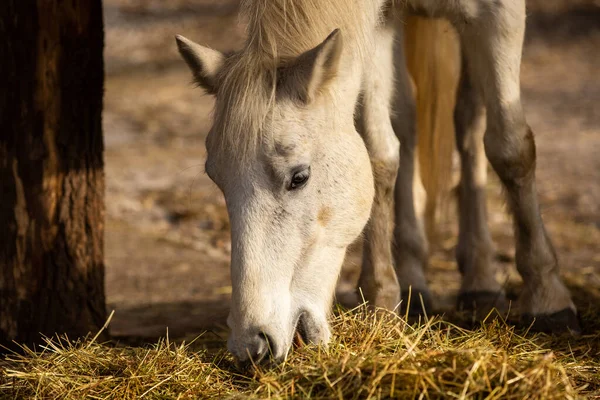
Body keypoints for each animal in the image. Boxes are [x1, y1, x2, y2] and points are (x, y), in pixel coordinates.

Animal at [176, 0, 580, 364]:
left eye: (299, 177)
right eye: (218, 181)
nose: (253, 345)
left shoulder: (499, 12)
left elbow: (510, 148)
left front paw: (548, 296)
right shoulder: (376, 25)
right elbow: (380, 153)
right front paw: (382, 301)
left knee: (469, 120)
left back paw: (481, 277)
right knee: (411, 120)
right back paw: (416, 278)